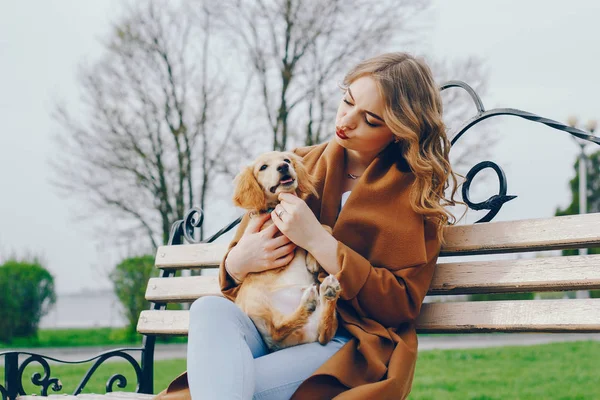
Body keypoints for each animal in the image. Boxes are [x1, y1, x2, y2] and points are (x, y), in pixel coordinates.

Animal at [231, 150, 342, 350]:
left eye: (286, 160)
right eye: (263, 167)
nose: (283, 167)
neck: (277, 205)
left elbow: (323, 227)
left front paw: (312, 260)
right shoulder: (275, 230)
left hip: (323, 326)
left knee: (325, 332)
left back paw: (328, 292)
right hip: (256, 303)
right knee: (278, 329)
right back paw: (309, 303)